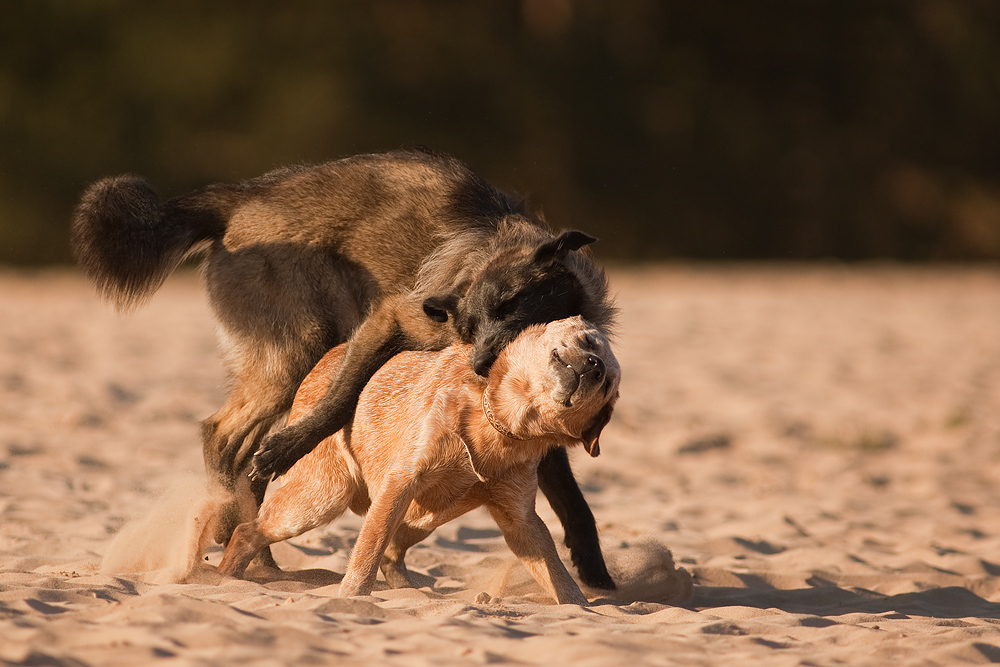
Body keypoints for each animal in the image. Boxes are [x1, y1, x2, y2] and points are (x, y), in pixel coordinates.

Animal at [221, 318, 616, 604]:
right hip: (321, 499)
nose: (595, 366)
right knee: (247, 531)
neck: (499, 425)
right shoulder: (401, 482)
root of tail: (330, 356)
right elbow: (365, 557)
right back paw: (223, 576)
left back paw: (413, 592)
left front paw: (585, 609)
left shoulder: (520, 518)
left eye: (608, 384)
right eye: (589, 342)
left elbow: (559, 577)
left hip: (425, 515)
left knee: (392, 551)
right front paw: (351, 599)